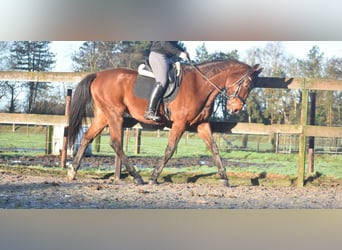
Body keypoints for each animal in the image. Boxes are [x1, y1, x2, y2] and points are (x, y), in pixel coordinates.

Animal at [68, 59, 264, 187]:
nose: (235, 109)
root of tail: (98, 74)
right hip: (115, 115)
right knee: (116, 143)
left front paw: (225, 178)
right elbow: (170, 149)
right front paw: (154, 177)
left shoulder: (201, 124)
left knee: (87, 137)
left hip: (103, 115)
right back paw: (137, 177)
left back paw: (73, 171)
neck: (200, 85)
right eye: (247, 85)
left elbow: (214, 149)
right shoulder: (180, 123)